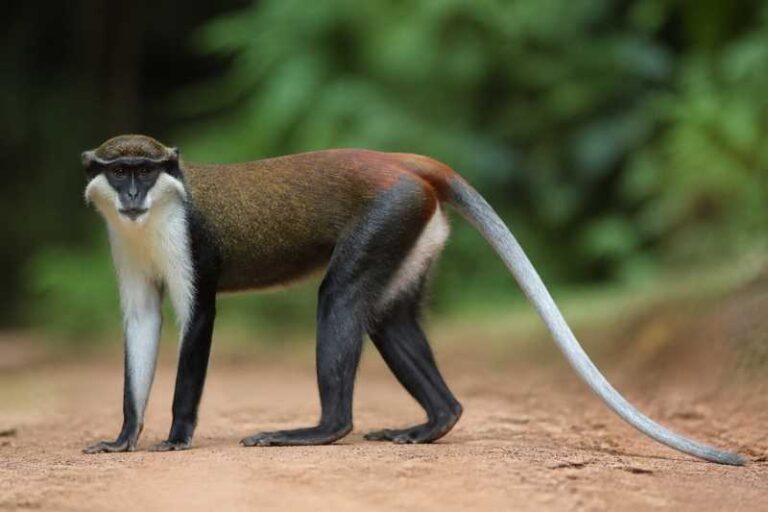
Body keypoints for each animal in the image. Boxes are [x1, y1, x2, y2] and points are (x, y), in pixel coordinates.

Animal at [80, 134, 744, 465]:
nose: (133, 194)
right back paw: (436, 419)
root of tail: (401, 162)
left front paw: (175, 437)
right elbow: (142, 321)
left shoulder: (190, 240)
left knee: (339, 300)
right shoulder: (123, 244)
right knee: (387, 319)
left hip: (388, 214)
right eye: (119, 172)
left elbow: (198, 319)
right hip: (410, 228)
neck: (151, 217)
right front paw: (123, 436)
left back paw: (323, 429)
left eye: (145, 170)